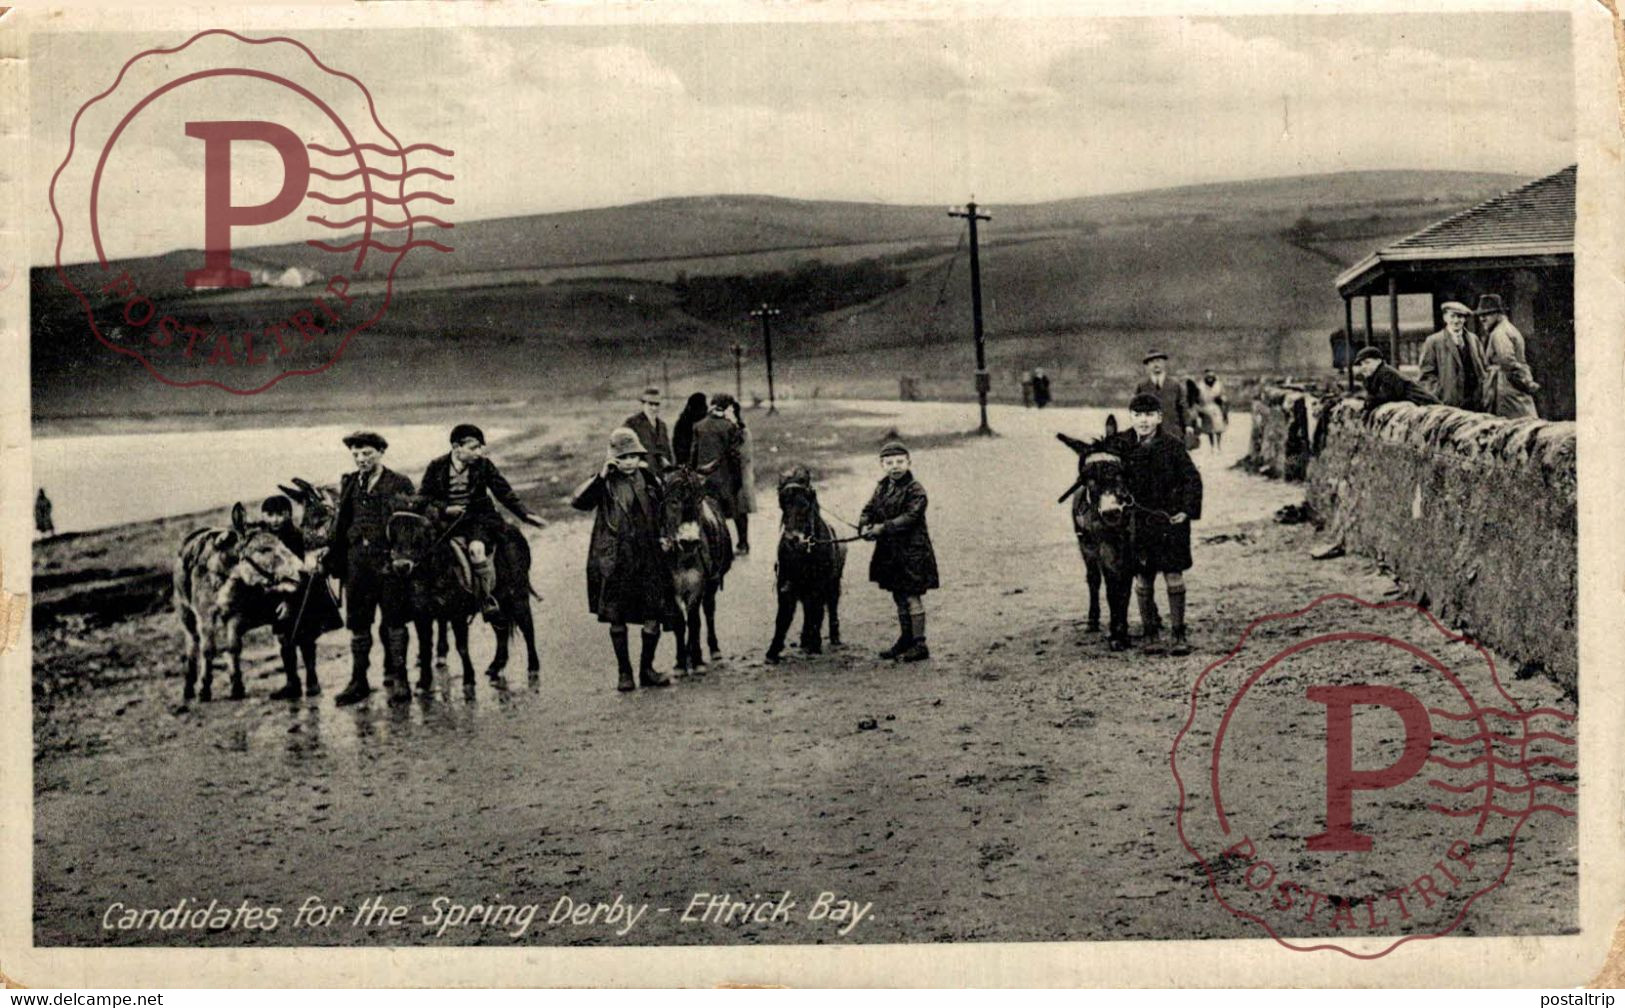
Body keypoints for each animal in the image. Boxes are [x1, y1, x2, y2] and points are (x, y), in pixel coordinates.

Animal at [173, 500, 305, 702]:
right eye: (264, 549)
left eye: (283, 544)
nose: (304, 572)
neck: (223, 573)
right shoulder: (205, 616)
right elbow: (207, 649)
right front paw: (204, 689)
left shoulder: (235, 615)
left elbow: (233, 647)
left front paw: (236, 687)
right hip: (186, 614)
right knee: (192, 645)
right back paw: (188, 688)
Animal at [659, 464, 737, 676]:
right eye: (673, 500)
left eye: (698, 500)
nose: (689, 542)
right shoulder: (671, 588)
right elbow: (679, 622)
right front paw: (680, 662)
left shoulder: (697, 585)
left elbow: (694, 621)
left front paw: (696, 660)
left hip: (712, 582)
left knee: (708, 611)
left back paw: (712, 650)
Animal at [763, 468, 845, 666]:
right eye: (782, 504)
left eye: (806, 504)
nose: (793, 540)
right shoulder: (786, 586)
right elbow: (783, 618)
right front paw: (773, 651)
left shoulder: (818, 586)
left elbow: (817, 613)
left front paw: (814, 644)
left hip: (833, 585)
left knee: (830, 607)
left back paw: (832, 637)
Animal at [1053, 416, 1144, 653]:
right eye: (1088, 479)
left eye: (1121, 472)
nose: (1111, 512)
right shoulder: (1103, 547)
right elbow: (1111, 587)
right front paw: (1116, 634)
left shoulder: (1130, 544)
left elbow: (1125, 586)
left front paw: (1123, 631)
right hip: (1086, 545)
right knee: (1093, 579)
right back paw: (1093, 621)